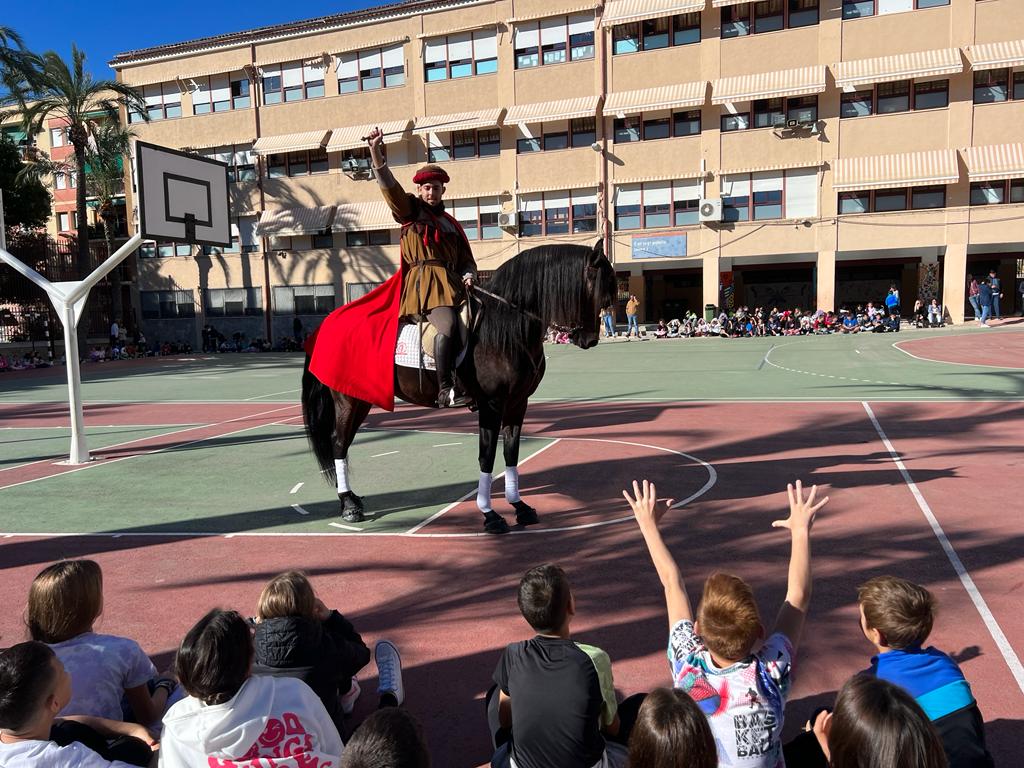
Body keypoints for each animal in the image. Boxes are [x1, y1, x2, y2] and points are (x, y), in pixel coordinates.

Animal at [299, 240, 614, 536]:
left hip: (361, 399)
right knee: (339, 444)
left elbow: (511, 453)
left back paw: (351, 499)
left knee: (343, 444)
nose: (590, 339)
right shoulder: (492, 404)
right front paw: (490, 514)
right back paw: (348, 506)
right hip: (347, 401)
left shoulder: (517, 402)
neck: (505, 327)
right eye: (597, 289)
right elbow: (487, 456)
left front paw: (519, 506)